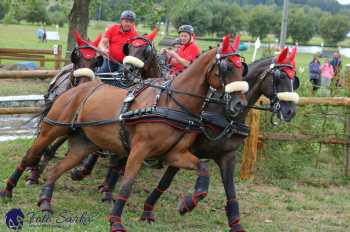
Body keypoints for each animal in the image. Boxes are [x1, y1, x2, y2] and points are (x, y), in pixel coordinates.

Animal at [0, 35, 246, 232]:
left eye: (242, 67)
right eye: (226, 68)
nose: (240, 104)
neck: (171, 104)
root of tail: (77, 88)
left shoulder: (175, 154)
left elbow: (203, 169)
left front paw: (188, 203)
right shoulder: (139, 151)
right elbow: (126, 184)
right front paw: (115, 221)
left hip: (83, 145)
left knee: (57, 169)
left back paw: (45, 201)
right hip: (52, 130)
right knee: (31, 156)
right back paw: (9, 190)